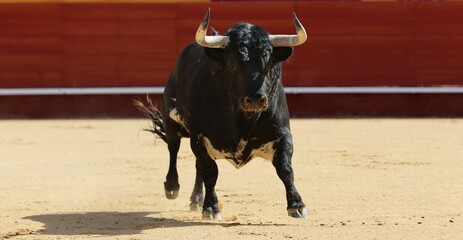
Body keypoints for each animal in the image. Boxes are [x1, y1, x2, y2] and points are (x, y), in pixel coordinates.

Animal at [134, 9, 308, 219]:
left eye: (268, 65)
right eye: (233, 66)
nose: (255, 99)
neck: (244, 119)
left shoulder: (282, 134)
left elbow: (285, 168)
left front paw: (297, 205)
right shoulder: (199, 136)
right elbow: (210, 172)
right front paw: (211, 208)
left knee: (197, 164)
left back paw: (196, 199)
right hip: (171, 121)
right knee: (173, 148)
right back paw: (172, 187)